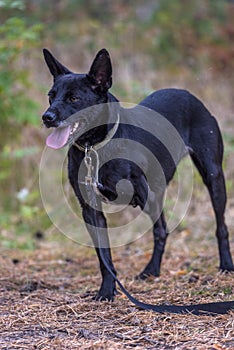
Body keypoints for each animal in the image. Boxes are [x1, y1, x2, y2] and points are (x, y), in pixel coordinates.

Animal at [42, 48, 234, 306]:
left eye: (74, 98)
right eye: (51, 96)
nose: (47, 117)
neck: (97, 146)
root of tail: (187, 94)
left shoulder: (144, 195)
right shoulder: (91, 210)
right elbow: (104, 256)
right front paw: (107, 291)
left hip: (212, 177)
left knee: (218, 225)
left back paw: (225, 265)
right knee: (162, 230)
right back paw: (152, 270)